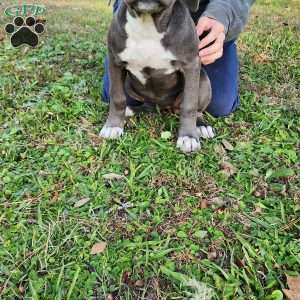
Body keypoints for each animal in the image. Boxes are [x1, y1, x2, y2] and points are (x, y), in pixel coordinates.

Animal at [99, 0, 214, 152]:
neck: (148, 25)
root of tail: (164, 106)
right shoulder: (115, 62)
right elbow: (117, 97)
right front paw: (113, 126)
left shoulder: (191, 65)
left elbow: (189, 105)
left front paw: (188, 136)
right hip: (129, 83)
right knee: (148, 105)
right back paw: (131, 110)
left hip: (203, 80)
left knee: (197, 109)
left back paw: (201, 125)